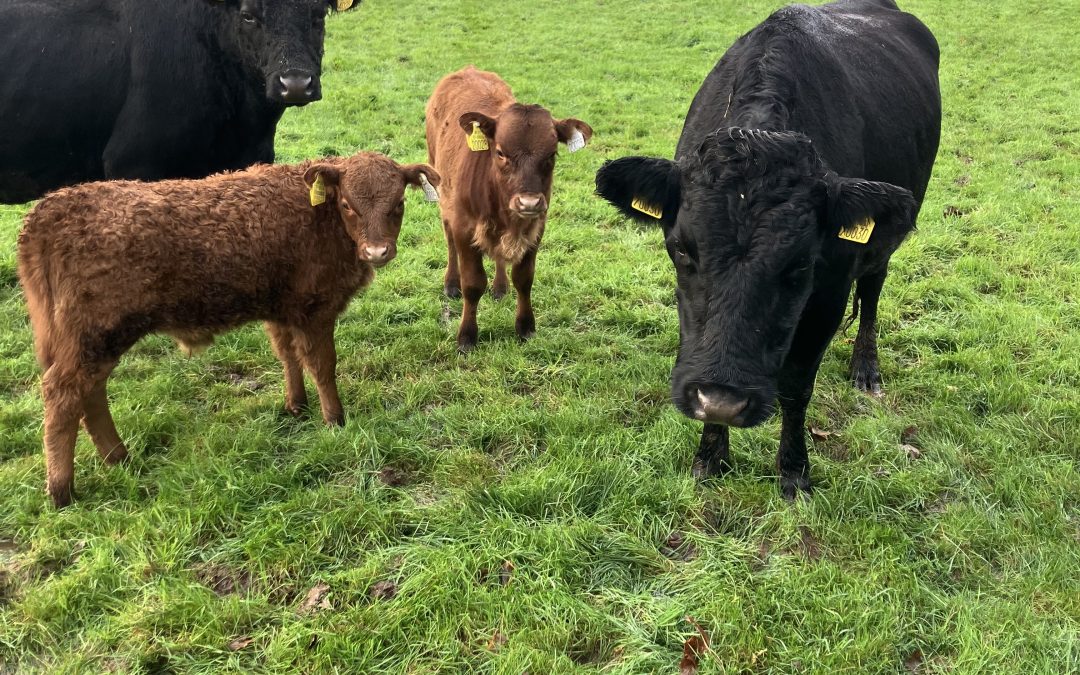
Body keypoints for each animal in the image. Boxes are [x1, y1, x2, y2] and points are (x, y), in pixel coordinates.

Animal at [17, 152, 440, 507]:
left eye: (398, 204)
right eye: (349, 206)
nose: (377, 252)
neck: (319, 218)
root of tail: (49, 211)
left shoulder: (281, 307)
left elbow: (287, 354)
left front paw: (296, 405)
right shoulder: (314, 309)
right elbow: (323, 365)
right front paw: (335, 418)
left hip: (88, 339)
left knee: (90, 394)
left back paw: (117, 457)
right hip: (94, 335)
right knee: (64, 394)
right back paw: (62, 490)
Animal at [425, 66, 593, 351]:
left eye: (551, 154)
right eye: (501, 152)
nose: (528, 202)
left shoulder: (537, 226)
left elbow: (524, 278)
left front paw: (525, 327)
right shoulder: (463, 226)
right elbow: (473, 284)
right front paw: (467, 336)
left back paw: (500, 287)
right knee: (449, 241)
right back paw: (451, 282)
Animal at [595, 0, 940, 498]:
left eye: (800, 266)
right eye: (683, 251)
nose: (722, 401)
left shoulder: (829, 294)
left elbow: (796, 386)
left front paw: (794, 471)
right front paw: (710, 455)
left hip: (888, 235)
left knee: (873, 290)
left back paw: (866, 368)